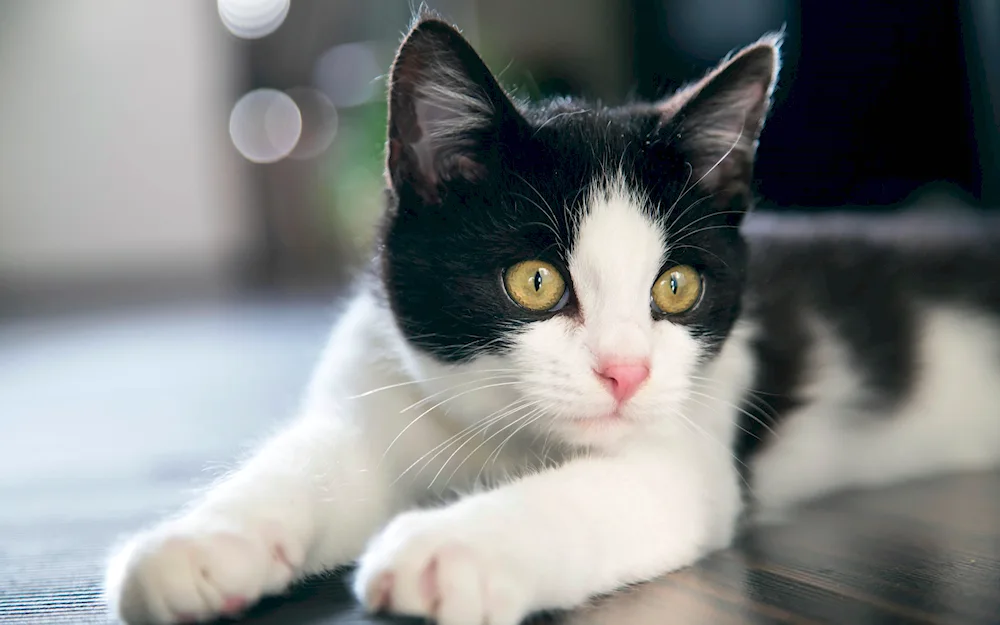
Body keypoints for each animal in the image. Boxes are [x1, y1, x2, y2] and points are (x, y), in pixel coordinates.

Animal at [101, 9, 1000, 624]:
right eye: (534, 282)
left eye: (676, 287)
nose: (626, 372)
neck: (504, 439)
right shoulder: (379, 378)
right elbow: (315, 459)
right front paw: (196, 546)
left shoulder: (692, 447)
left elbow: (595, 495)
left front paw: (451, 547)